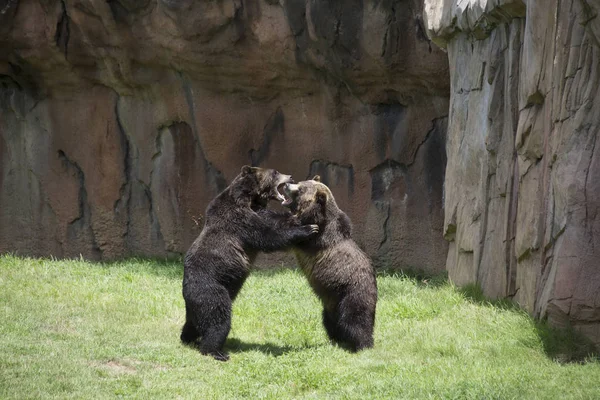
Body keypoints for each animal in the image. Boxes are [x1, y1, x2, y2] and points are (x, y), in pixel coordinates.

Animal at [179, 166, 316, 362]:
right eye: (275, 172)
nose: (290, 176)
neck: (250, 198)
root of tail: (185, 292)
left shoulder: (259, 211)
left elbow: (276, 220)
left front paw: (301, 217)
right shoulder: (240, 219)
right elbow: (267, 236)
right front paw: (308, 229)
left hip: (197, 304)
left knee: (193, 322)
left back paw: (187, 338)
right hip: (211, 290)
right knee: (218, 318)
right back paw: (216, 351)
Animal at [280, 177, 376, 352]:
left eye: (301, 189)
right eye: (300, 182)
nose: (287, 184)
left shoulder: (319, 237)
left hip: (352, 294)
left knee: (356, 321)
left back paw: (363, 345)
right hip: (330, 305)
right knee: (329, 321)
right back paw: (337, 339)